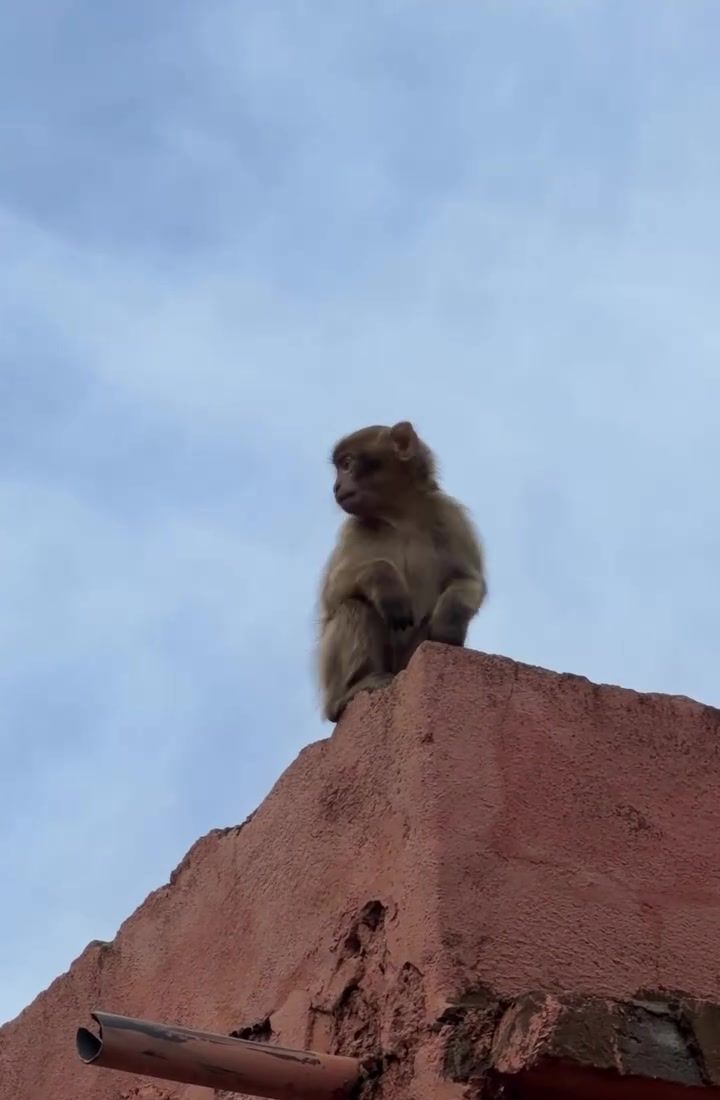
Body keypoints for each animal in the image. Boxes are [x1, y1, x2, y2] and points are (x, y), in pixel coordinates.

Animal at [317, 421, 487, 722]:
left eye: (347, 464)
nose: (336, 486)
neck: (400, 517)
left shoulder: (450, 516)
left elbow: (470, 579)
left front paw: (449, 620)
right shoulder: (352, 530)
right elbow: (333, 595)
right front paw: (386, 583)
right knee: (354, 607)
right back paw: (350, 692)